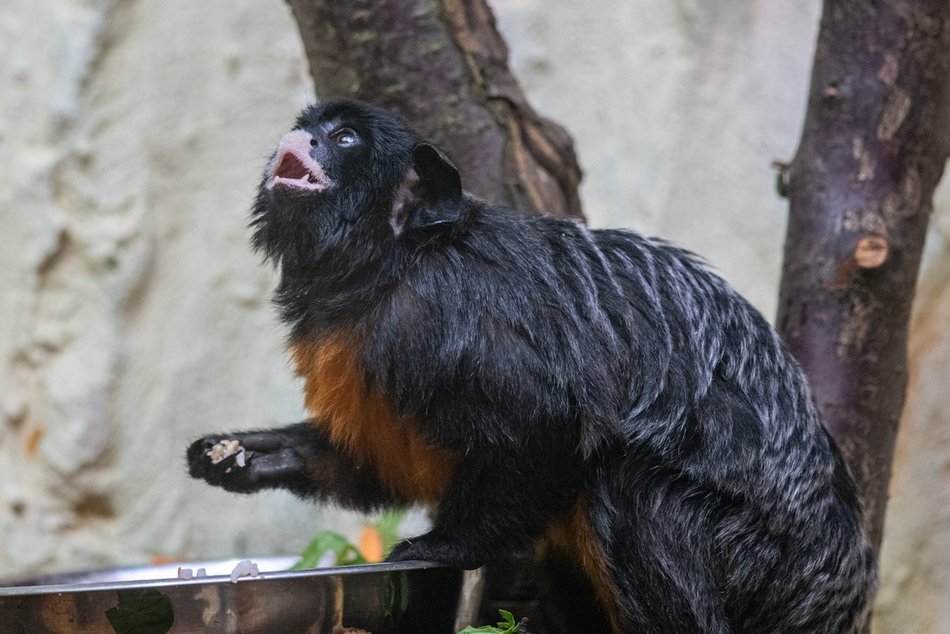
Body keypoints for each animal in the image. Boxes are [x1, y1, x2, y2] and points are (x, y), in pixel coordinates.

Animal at [190, 99, 880, 632]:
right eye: (309, 126)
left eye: (344, 139)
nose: (300, 139)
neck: (389, 259)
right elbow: (380, 464)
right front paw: (246, 455)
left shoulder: (444, 317)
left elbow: (546, 421)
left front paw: (446, 546)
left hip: (759, 566)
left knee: (627, 483)